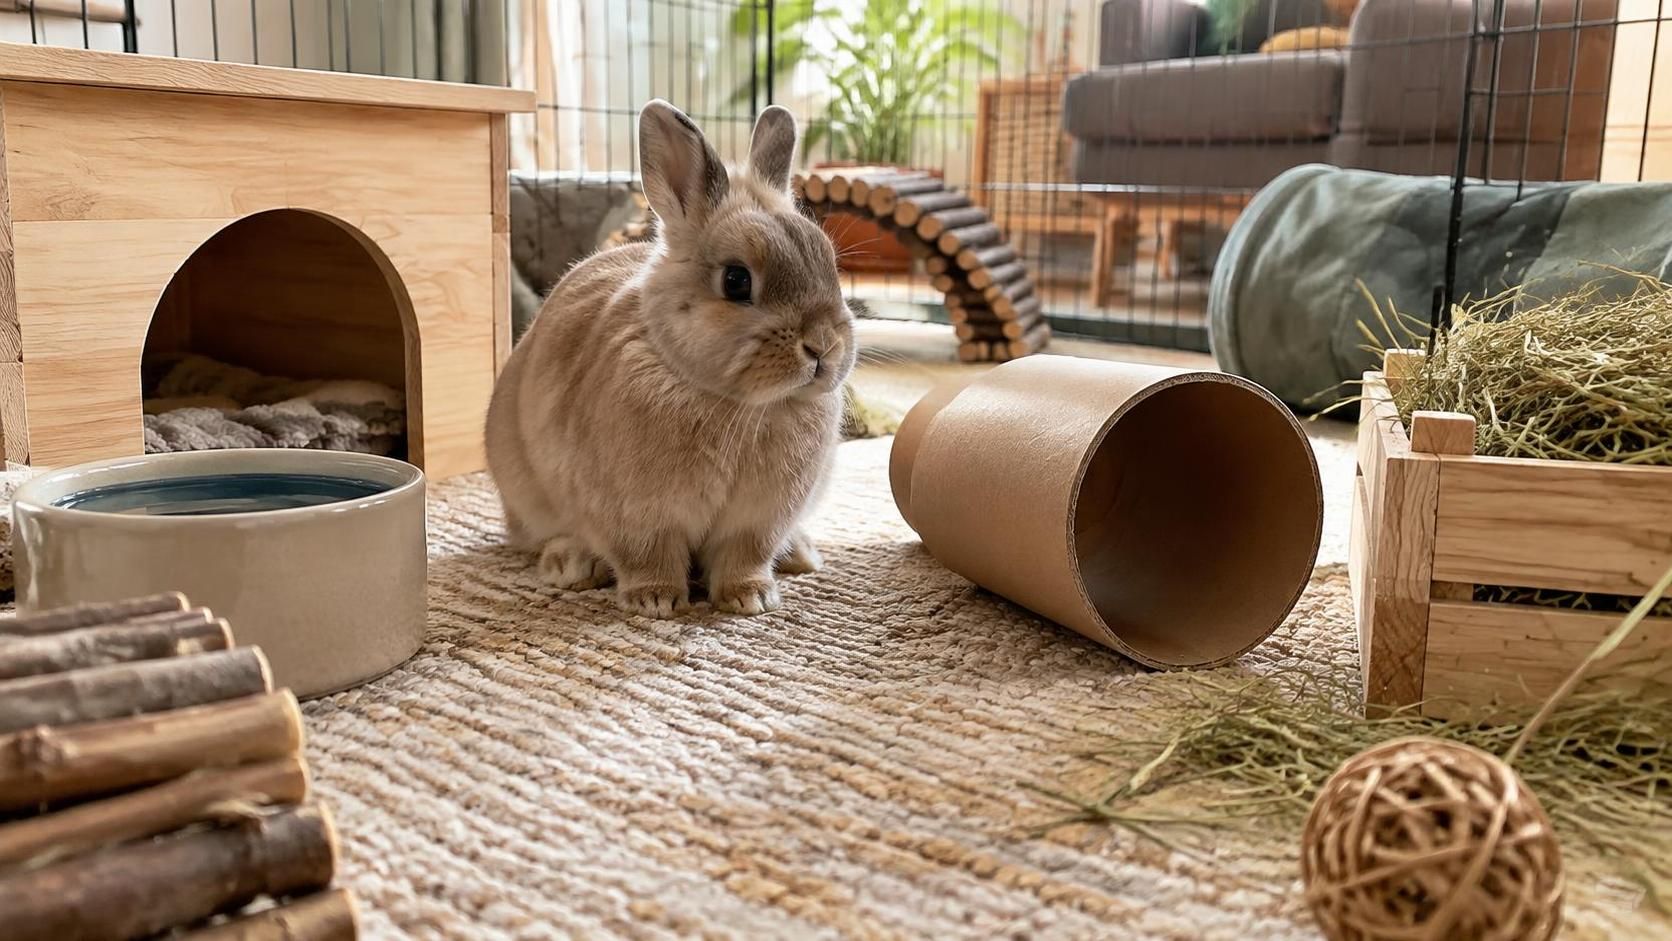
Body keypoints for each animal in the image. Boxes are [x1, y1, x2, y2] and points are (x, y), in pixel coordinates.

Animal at [485, 99, 855, 618]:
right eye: (736, 280)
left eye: (830, 265)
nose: (823, 346)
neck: (736, 404)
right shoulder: (636, 514)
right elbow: (647, 555)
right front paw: (655, 601)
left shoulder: (757, 521)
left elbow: (745, 556)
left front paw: (751, 598)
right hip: (525, 495)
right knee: (537, 535)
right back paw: (570, 564)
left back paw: (801, 554)